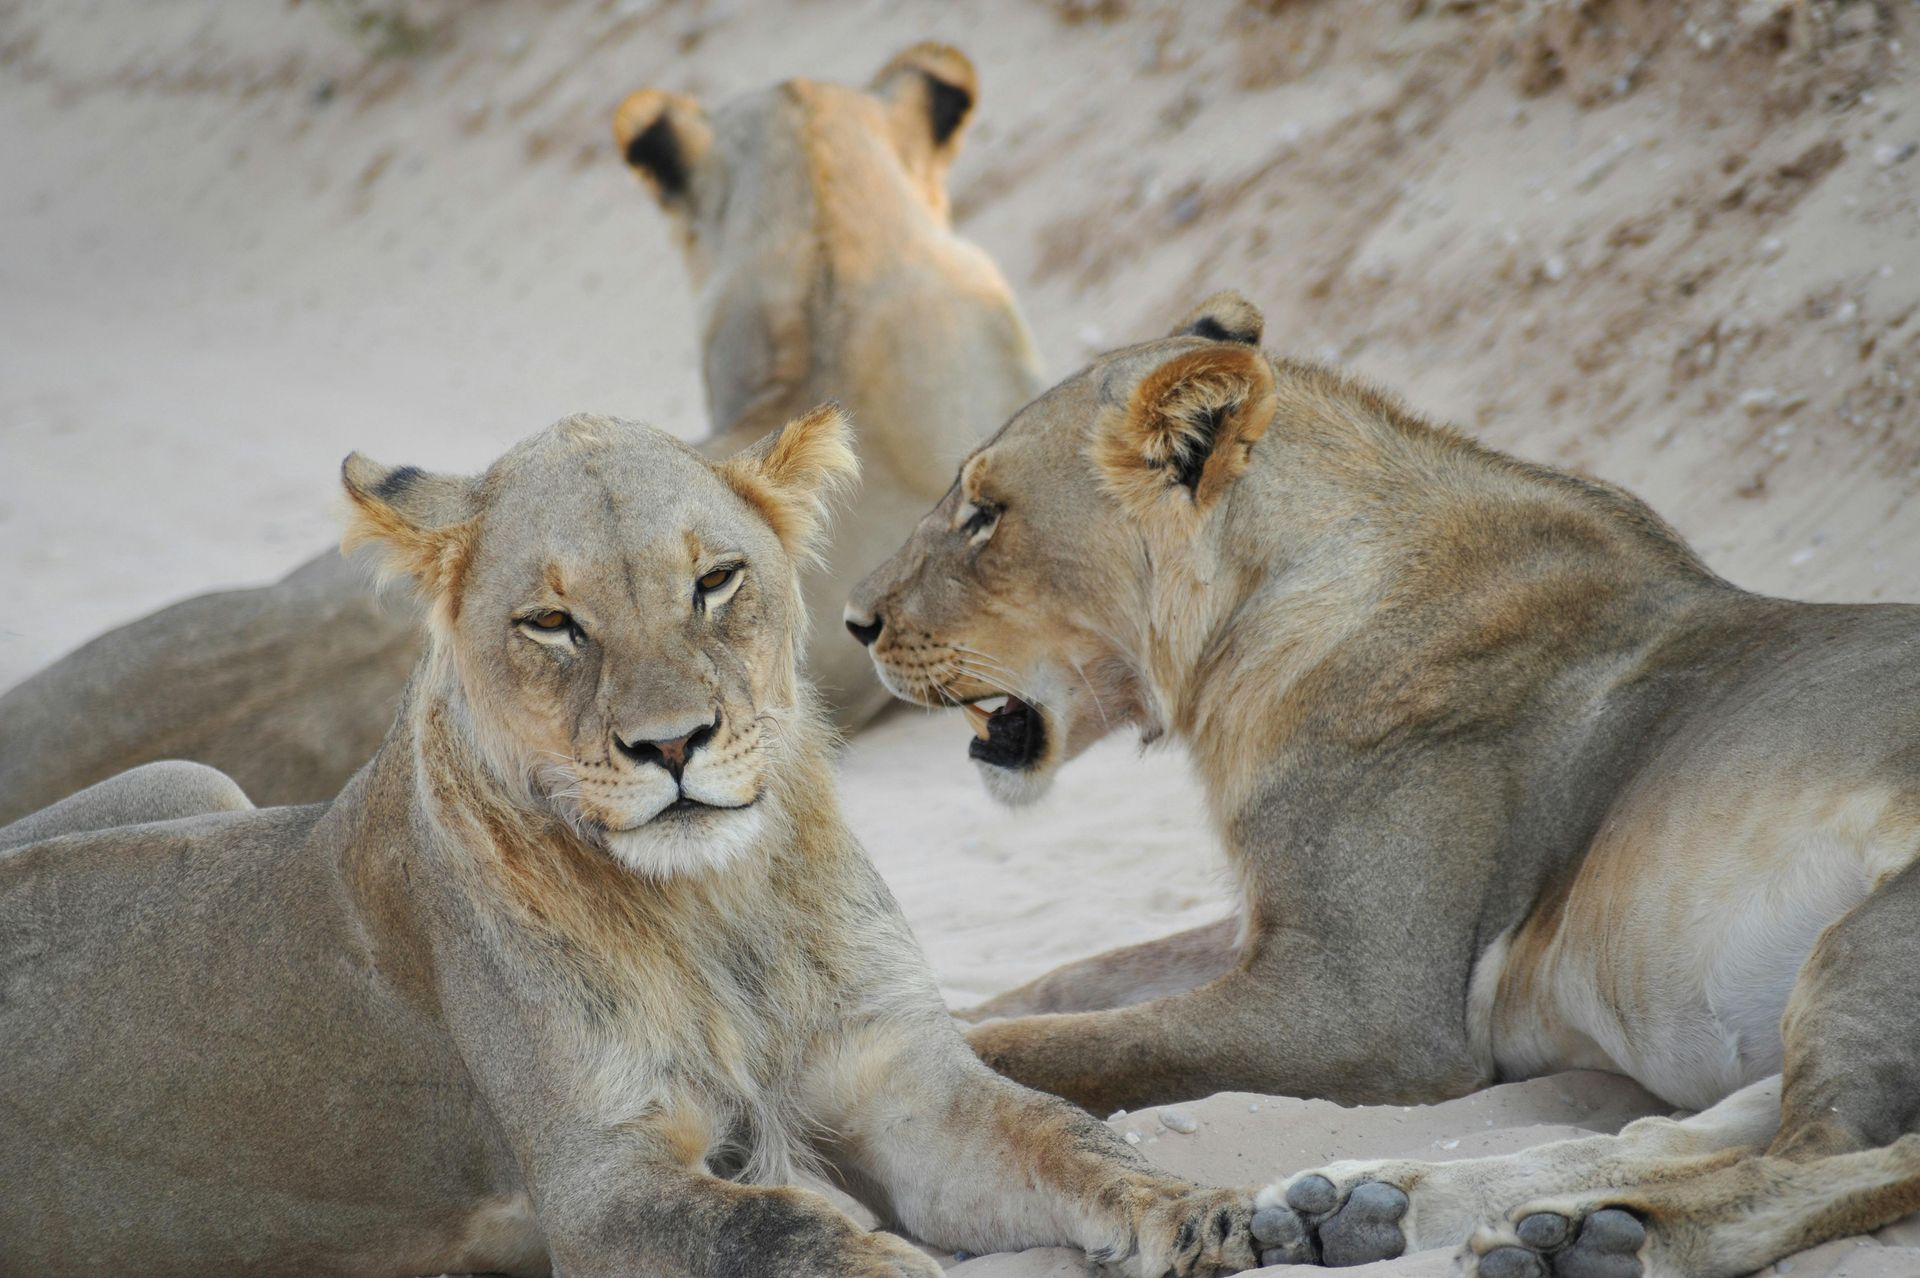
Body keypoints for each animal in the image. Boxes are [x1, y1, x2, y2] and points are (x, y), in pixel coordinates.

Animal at [0, 408, 1256, 1278]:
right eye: (554, 623)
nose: (671, 744)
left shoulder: (901, 1079)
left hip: (196, 779)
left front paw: (1206, 1213)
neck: (714, 905)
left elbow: (1065, 1139)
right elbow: (784, 1236)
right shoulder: (599, 1193)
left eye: (716, 581)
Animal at [845, 292, 1920, 1277]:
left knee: (1833, 1154)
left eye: (986, 515)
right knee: (1683, 1130)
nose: (855, 622)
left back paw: (1604, 1239)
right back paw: (1366, 1203)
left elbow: (1048, 1047)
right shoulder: (1273, 924)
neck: (1248, 633)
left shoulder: (1364, 1007)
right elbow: (1067, 982)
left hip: (1875, 937)